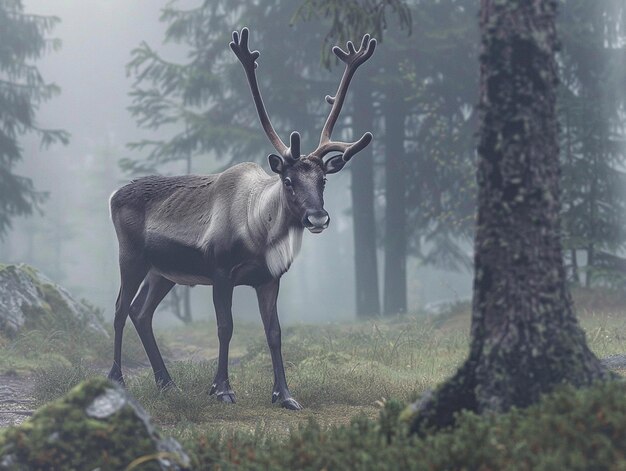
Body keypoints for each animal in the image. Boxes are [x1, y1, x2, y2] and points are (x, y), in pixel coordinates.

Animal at [107, 27, 376, 410]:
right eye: (288, 180)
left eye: (323, 180)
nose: (318, 217)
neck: (259, 235)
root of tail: (113, 195)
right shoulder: (220, 271)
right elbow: (226, 327)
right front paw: (221, 389)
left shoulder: (269, 278)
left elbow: (274, 332)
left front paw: (284, 395)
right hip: (131, 256)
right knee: (118, 309)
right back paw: (117, 379)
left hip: (164, 271)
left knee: (140, 312)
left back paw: (167, 383)